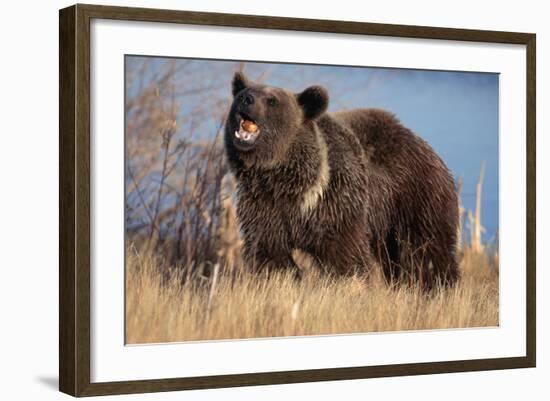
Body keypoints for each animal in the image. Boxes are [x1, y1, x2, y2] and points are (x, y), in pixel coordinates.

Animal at [224, 72, 462, 290]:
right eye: (244, 94)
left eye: (272, 100)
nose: (247, 99)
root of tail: (428, 148)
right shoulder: (265, 207)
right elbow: (270, 256)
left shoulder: (336, 203)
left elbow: (344, 258)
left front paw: (346, 286)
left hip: (417, 198)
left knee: (425, 251)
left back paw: (438, 287)